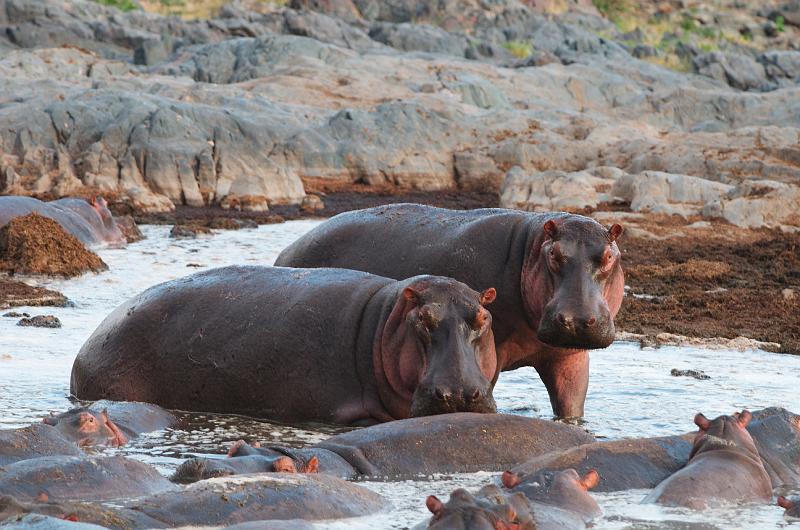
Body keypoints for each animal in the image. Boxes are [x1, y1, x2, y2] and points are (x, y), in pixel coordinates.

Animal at [275, 204, 625, 418]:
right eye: (554, 255)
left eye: (609, 255)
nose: (577, 318)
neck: (530, 249)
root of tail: (288, 250)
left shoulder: (569, 357)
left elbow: (571, 404)